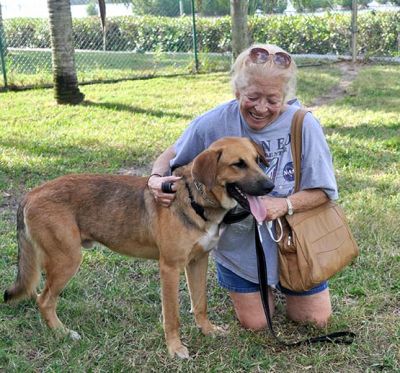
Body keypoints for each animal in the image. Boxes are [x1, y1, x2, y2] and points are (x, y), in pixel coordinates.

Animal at [4, 137, 276, 358]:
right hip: (67, 261)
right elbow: (172, 316)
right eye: (238, 164)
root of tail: (30, 195)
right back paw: (63, 333)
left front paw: (207, 330)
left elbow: (200, 304)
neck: (194, 200)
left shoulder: (198, 262)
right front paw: (175, 348)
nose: (270, 187)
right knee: (44, 300)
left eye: (256, 160)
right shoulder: (170, 268)